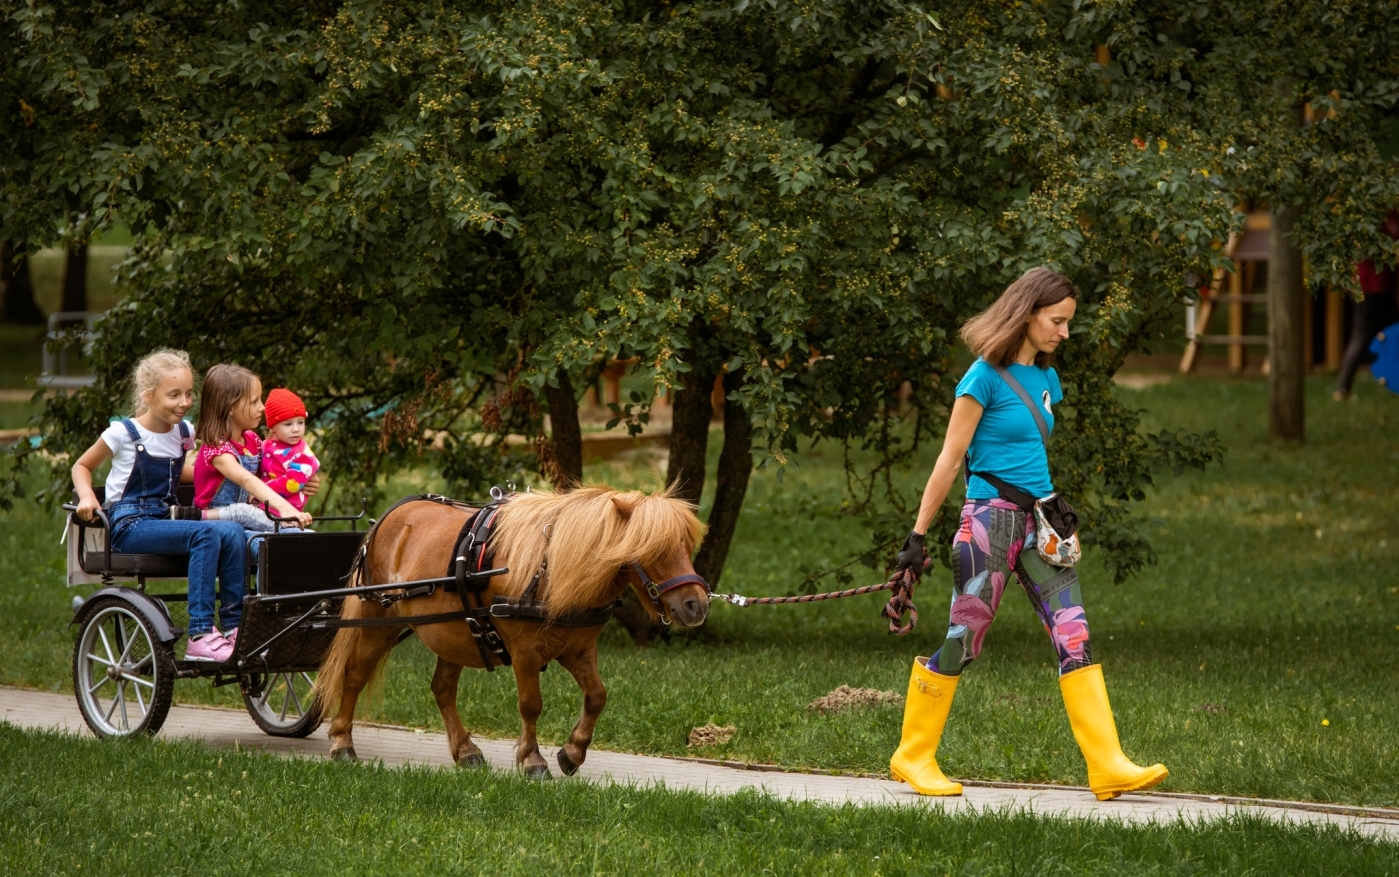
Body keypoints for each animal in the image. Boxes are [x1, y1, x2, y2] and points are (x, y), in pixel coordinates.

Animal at [317, 489, 710, 777]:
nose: (697, 605)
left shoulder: (578, 649)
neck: (551, 568)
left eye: (687, 546)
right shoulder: (525, 652)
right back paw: (342, 742)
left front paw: (572, 752)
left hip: (454, 631)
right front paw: (533, 760)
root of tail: (387, 517)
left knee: (442, 690)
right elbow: (531, 705)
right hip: (378, 620)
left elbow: (597, 696)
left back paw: (465, 750)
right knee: (354, 675)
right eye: (654, 548)